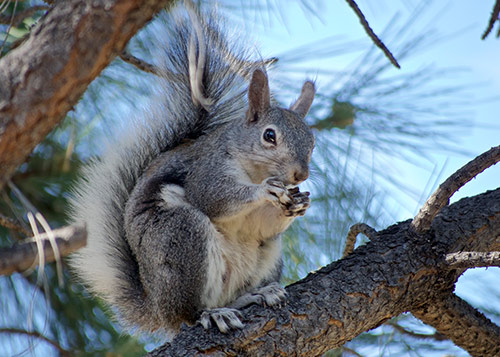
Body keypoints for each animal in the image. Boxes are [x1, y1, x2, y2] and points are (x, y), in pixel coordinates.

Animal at [68, 4, 314, 336]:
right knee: (190, 313)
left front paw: (298, 203)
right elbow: (213, 197)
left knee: (234, 292)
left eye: (312, 142)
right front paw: (264, 191)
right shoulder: (207, 168)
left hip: (267, 254)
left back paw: (257, 294)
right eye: (269, 136)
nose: (300, 175)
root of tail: (157, 307)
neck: (254, 170)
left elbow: (265, 225)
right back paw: (212, 314)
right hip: (182, 236)